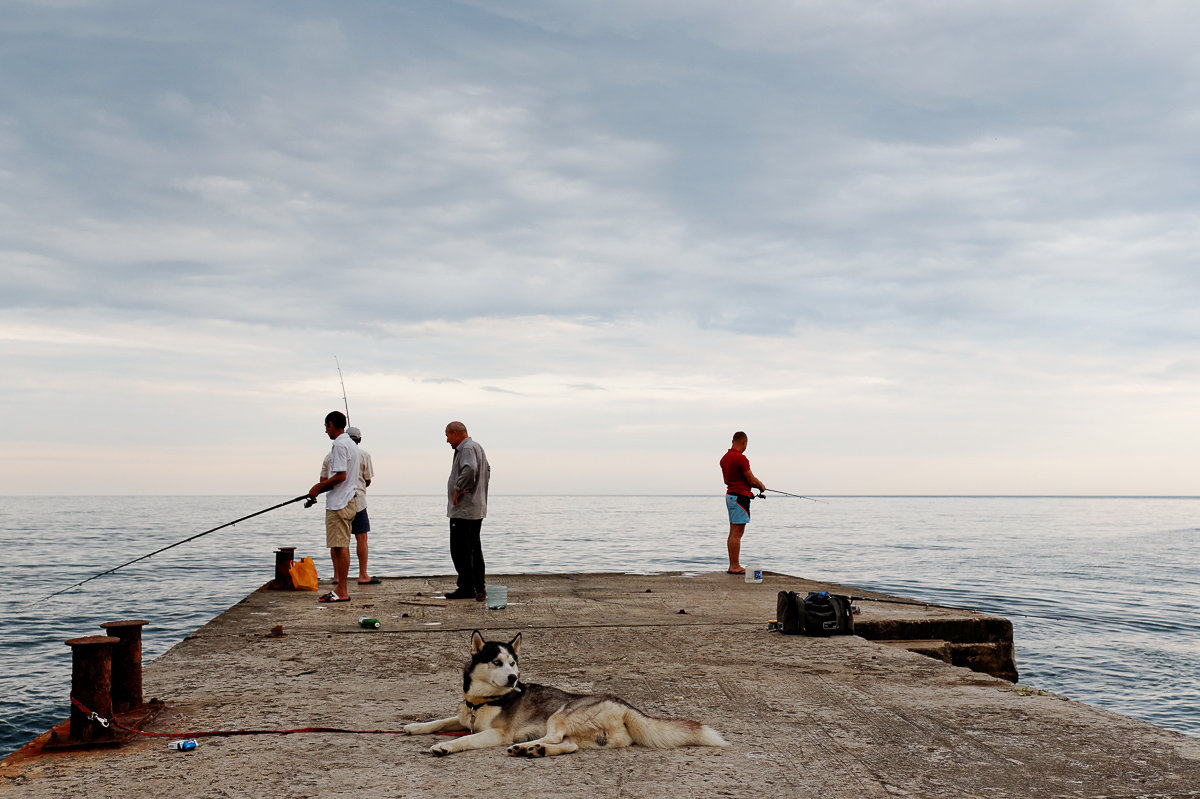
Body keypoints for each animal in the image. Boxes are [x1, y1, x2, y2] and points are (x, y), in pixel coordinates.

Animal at [403, 628, 724, 753]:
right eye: (497, 662)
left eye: (513, 663)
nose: (514, 678)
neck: (483, 701)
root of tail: (624, 706)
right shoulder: (463, 715)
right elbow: (442, 720)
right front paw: (414, 727)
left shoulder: (496, 733)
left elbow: (465, 739)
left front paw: (445, 746)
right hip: (584, 737)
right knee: (567, 745)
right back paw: (536, 750)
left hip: (561, 715)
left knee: (555, 736)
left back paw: (526, 746)